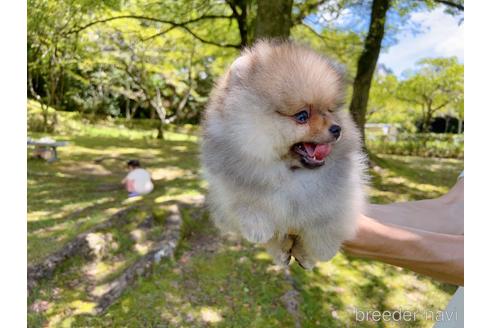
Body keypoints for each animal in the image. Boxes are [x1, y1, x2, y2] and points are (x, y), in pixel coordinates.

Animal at [200, 40, 366, 270]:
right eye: (302, 116)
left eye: (329, 111)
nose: (337, 128)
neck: (290, 172)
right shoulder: (230, 190)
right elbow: (248, 207)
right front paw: (260, 231)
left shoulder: (339, 200)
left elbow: (324, 228)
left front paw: (318, 253)